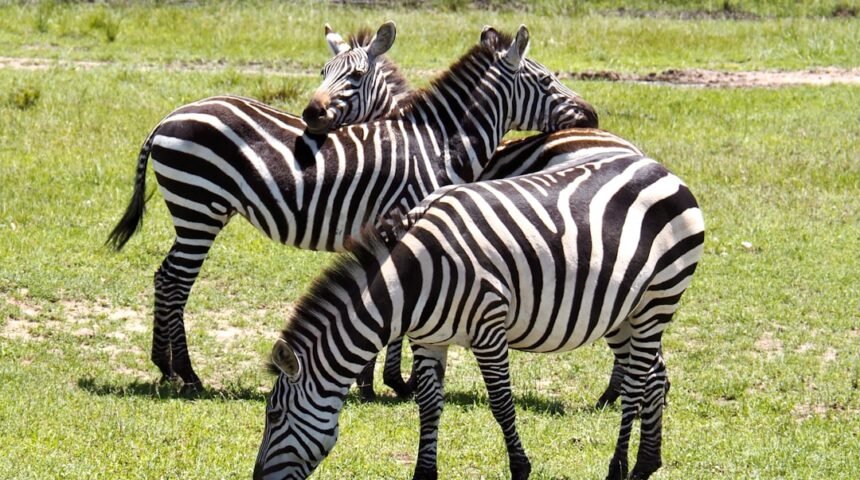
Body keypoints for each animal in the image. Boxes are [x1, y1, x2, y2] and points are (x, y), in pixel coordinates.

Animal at [106, 24, 598, 392]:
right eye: (547, 80)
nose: (591, 115)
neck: (436, 143)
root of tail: (167, 118)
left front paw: (368, 379)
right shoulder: (407, 215)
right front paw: (395, 381)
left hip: (198, 211)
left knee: (165, 277)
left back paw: (166, 367)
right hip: (199, 209)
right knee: (175, 281)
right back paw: (186, 374)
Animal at [255, 151, 705, 480]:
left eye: (273, 414)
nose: (258, 479)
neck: (415, 279)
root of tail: (661, 169)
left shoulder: (489, 330)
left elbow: (502, 404)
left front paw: (520, 468)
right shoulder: (428, 339)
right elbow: (429, 406)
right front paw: (424, 473)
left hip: (659, 297)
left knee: (635, 385)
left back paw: (619, 468)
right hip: (625, 311)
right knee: (655, 377)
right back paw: (646, 465)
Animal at [311, 23, 639, 405]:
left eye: (355, 76)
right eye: (323, 73)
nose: (311, 113)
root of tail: (629, 149)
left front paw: (390, 380)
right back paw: (614, 392)